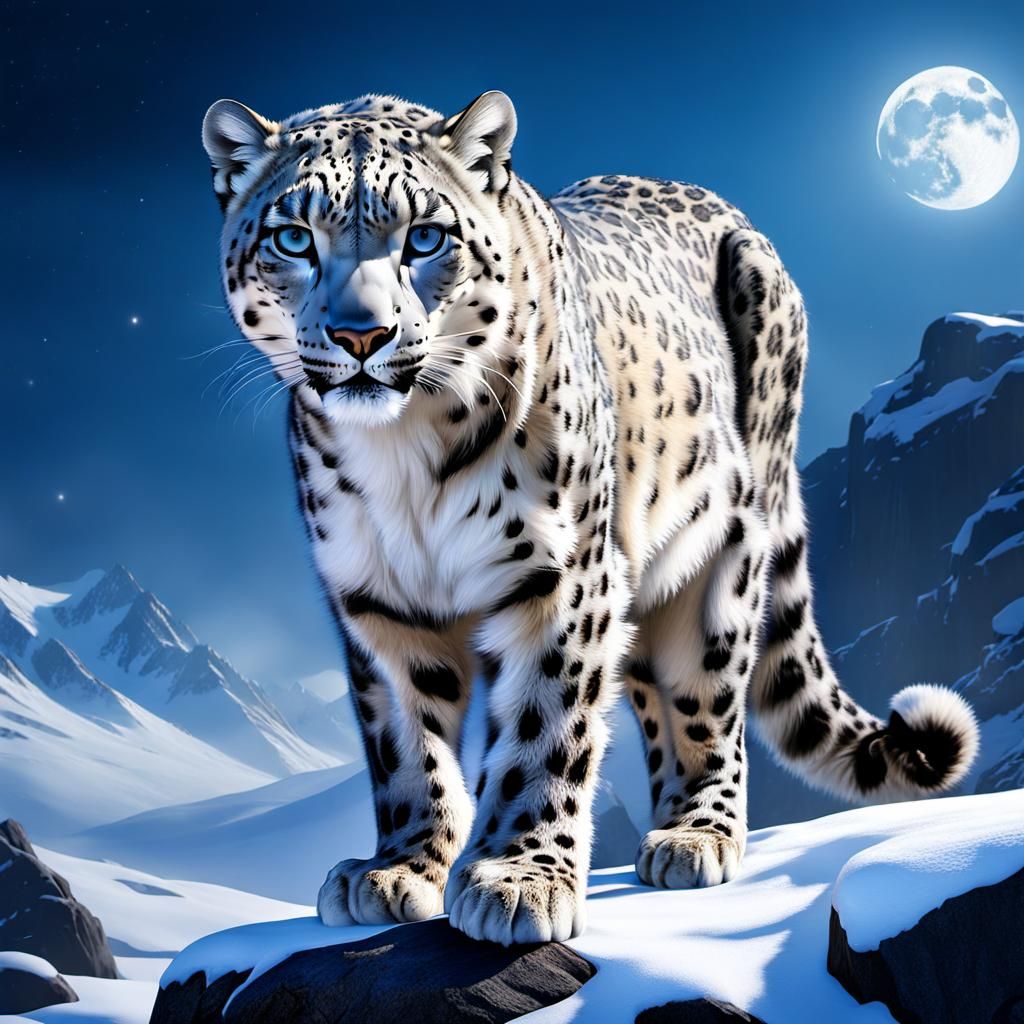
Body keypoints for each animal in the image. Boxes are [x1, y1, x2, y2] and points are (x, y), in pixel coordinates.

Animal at [201, 90, 980, 946]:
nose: (361, 334)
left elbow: (546, 724)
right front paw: (400, 867)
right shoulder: (376, 598)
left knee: (709, 699)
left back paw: (695, 834)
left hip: (723, 550)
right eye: (294, 237)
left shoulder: (563, 573)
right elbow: (404, 744)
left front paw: (518, 879)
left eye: (426, 236)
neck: (405, 456)